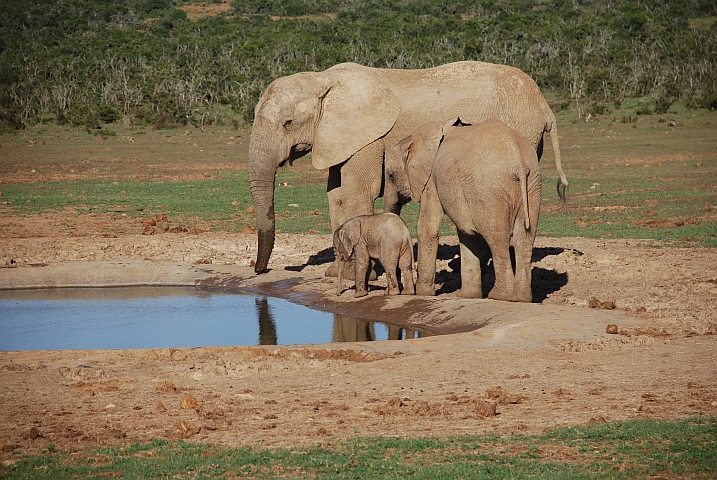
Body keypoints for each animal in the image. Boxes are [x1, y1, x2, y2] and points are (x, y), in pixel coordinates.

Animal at [249, 60, 568, 274]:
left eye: (288, 123)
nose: (259, 269)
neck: (322, 80)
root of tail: (545, 106)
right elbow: (335, 195)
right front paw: (333, 274)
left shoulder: (369, 135)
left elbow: (355, 193)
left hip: (520, 131)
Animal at [384, 118, 540, 302]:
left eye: (391, 176)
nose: (399, 289)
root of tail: (518, 160)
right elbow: (466, 232)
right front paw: (468, 296)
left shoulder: (432, 180)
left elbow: (428, 228)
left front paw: (422, 293)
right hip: (532, 184)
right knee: (525, 236)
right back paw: (522, 298)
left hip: (487, 189)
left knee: (497, 236)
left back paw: (499, 296)